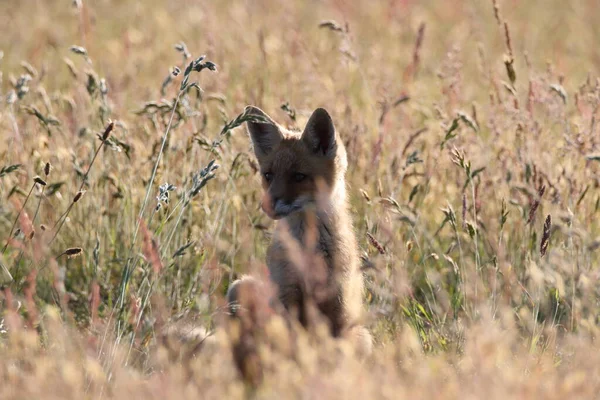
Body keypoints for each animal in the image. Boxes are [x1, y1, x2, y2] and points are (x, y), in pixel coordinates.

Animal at [227, 105, 372, 356]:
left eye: (299, 176)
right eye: (268, 175)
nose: (267, 205)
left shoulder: (337, 307)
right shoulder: (286, 297)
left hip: (363, 337)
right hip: (239, 288)